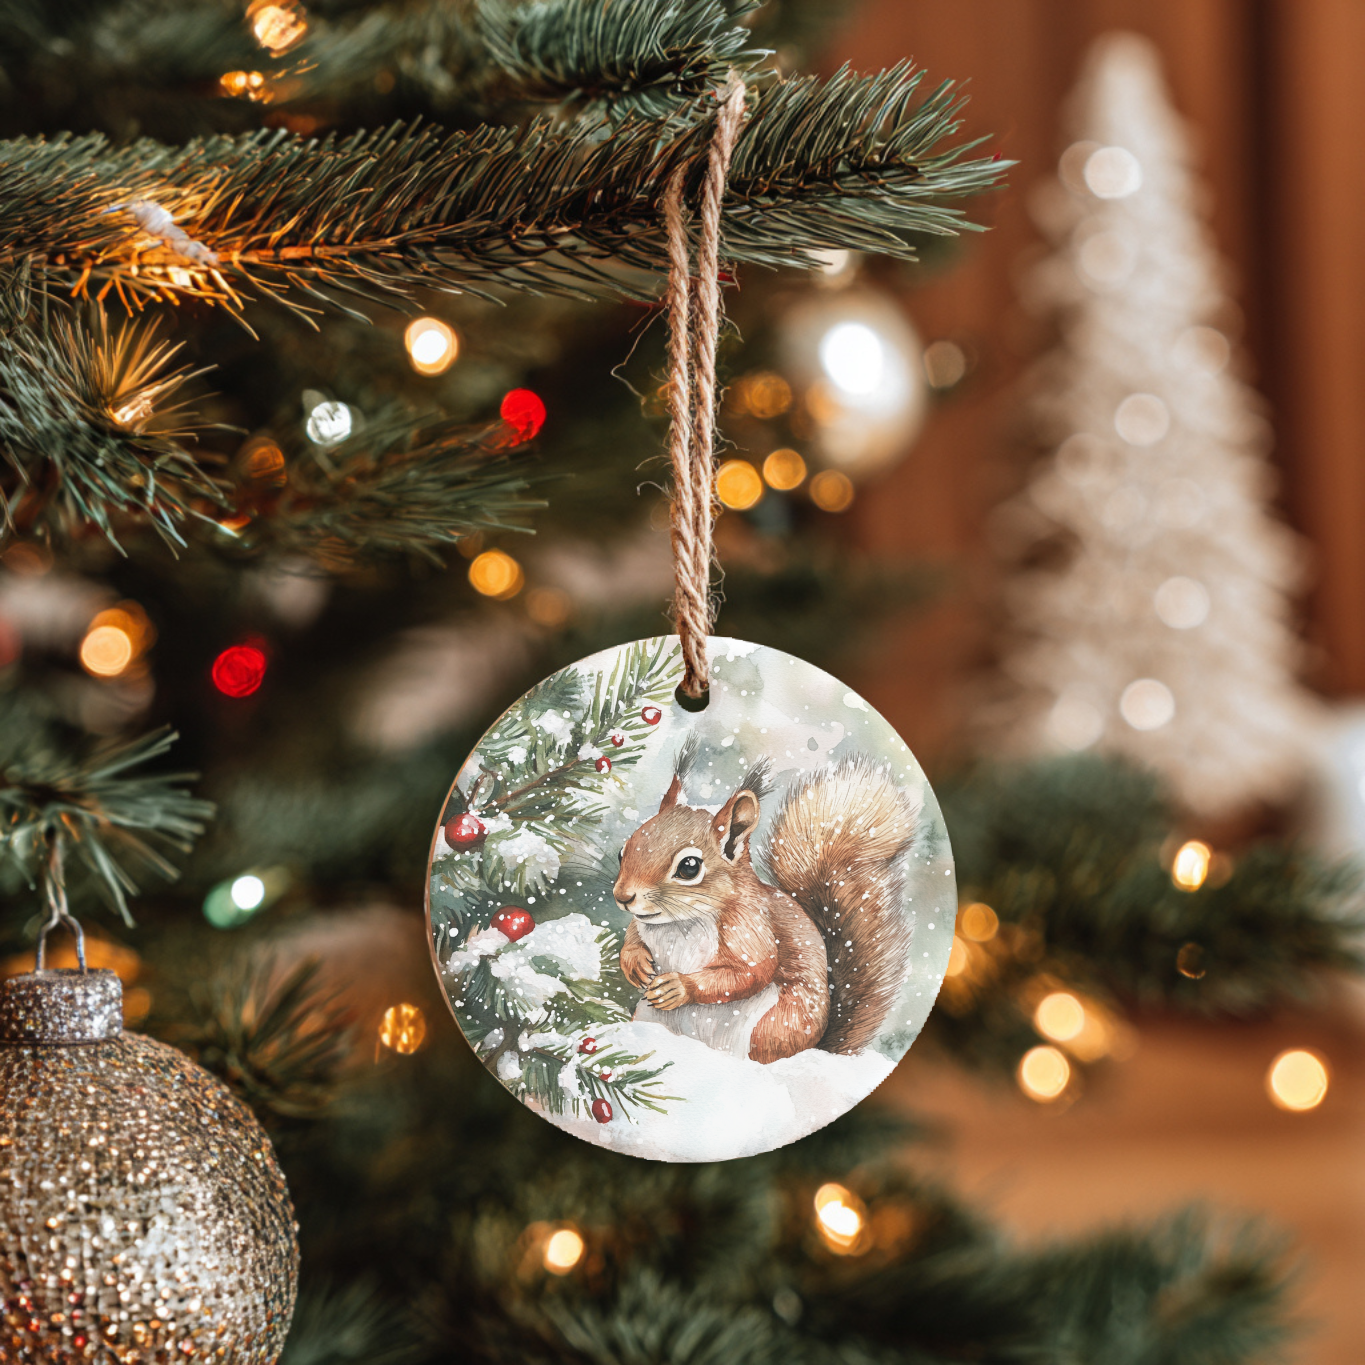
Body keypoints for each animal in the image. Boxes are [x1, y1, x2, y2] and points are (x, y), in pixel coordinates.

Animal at [612, 742, 921, 1064]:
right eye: (623, 852)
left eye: (689, 867)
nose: (622, 897)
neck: (678, 922)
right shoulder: (640, 924)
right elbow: (632, 939)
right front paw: (635, 963)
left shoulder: (749, 925)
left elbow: (751, 970)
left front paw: (680, 986)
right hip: (648, 1016)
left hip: (774, 1028)